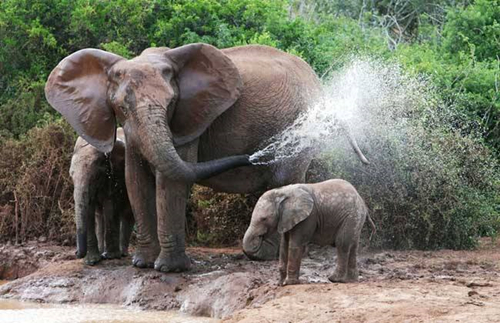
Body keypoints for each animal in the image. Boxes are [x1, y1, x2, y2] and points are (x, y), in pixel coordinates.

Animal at [69, 128, 135, 266]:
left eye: (95, 176)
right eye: (71, 177)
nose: (76, 253)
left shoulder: (114, 174)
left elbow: (110, 205)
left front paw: (111, 257)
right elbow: (89, 210)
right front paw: (92, 261)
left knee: (127, 213)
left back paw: (121, 253)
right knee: (100, 216)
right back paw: (102, 252)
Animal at [242, 180, 376, 286]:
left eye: (264, 219)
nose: (260, 238)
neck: (282, 191)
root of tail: (362, 201)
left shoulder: (308, 217)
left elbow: (295, 245)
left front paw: (289, 283)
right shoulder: (287, 218)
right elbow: (284, 246)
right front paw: (280, 284)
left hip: (351, 216)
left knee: (342, 243)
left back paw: (334, 279)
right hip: (356, 218)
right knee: (353, 246)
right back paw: (350, 280)